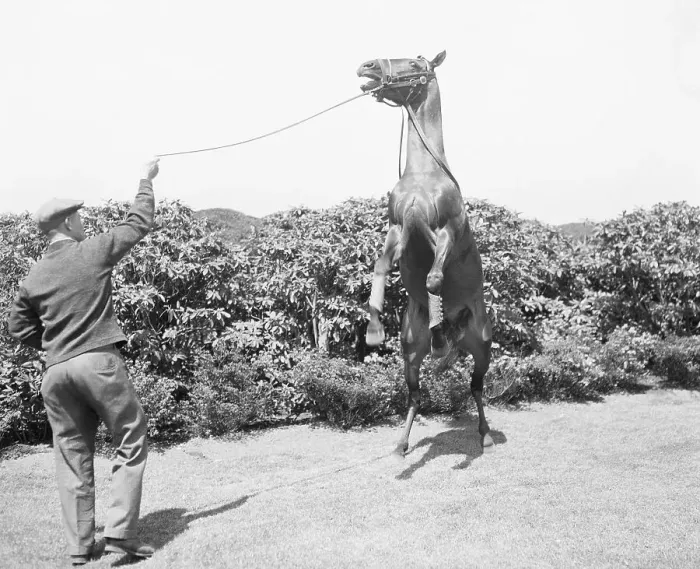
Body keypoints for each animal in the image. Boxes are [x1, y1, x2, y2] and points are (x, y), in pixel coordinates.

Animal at [357, 50, 494, 455]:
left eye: (417, 62)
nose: (368, 67)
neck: (424, 176)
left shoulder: (446, 229)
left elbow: (434, 277)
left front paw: (439, 328)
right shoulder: (398, 228)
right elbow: (381, 267)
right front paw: (374, 331)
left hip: (483, 347)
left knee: (476, 387)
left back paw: (485, 432)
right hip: (409, 354)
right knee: (415, 395)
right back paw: (402, 443)